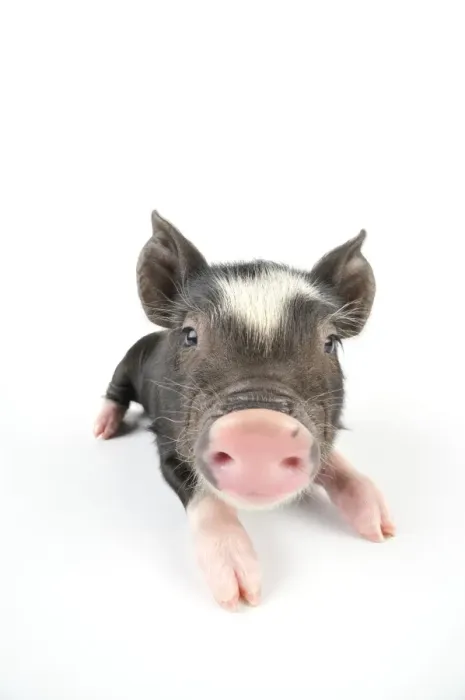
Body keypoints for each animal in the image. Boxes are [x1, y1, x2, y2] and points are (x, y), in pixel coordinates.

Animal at [94, 211, 395, 610]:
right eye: (190, 335)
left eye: (330, 342)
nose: (260, 429)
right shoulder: (168, 443)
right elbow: (204, 497)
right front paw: (240, 596)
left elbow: (336, 465)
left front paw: (383, 530)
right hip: (126, 362)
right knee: (115, 391)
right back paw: (102, 430)